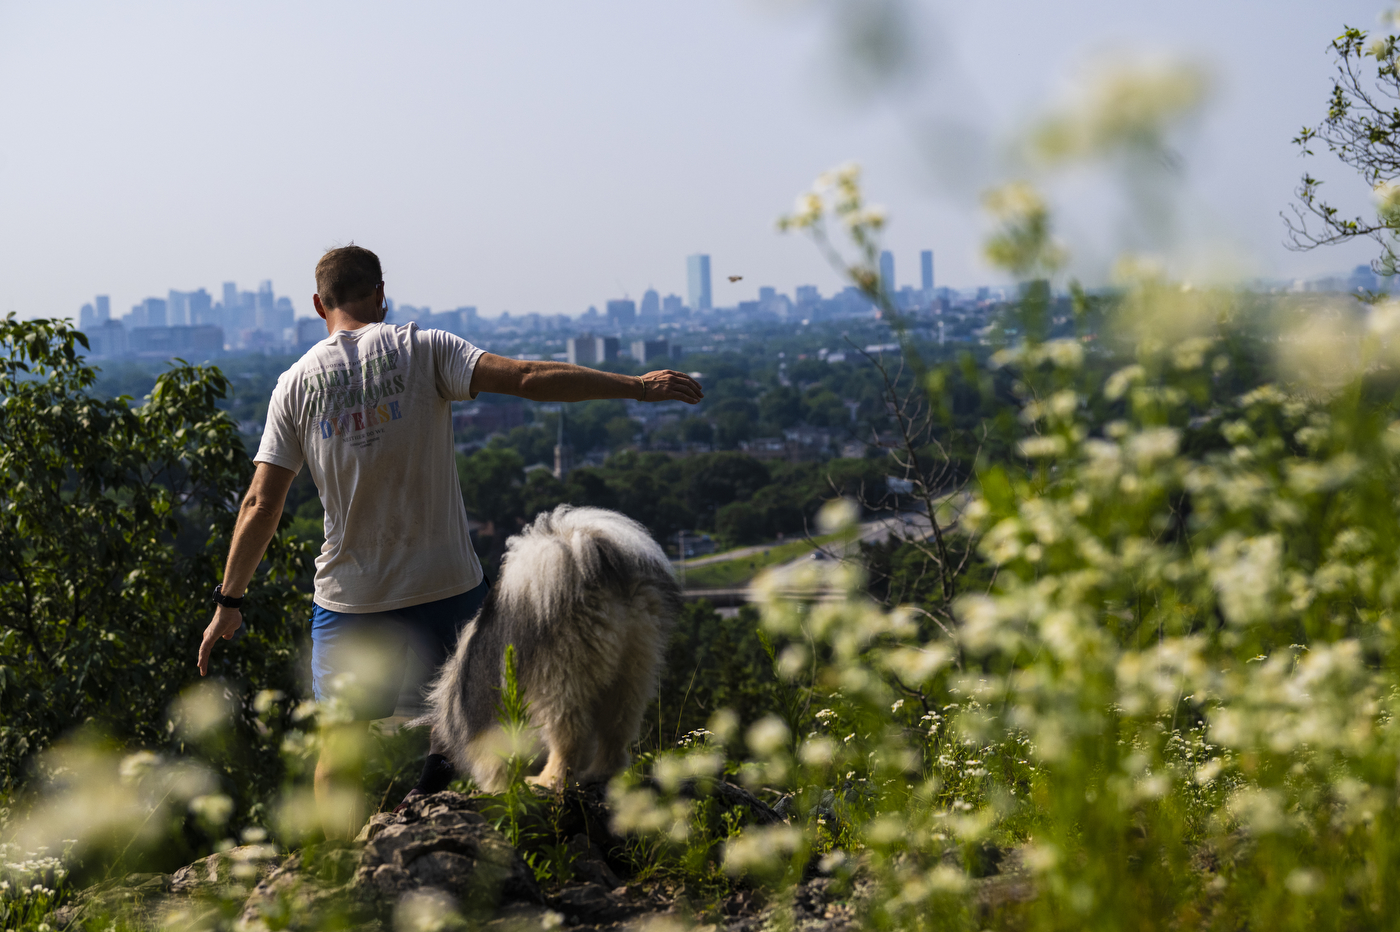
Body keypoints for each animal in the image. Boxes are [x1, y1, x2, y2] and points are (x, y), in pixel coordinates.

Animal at [431, 503, 683, 789]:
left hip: (557, 679)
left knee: (568, 737)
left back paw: (547, 779)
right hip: (631, 670)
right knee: (616, 731)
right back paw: (598, 773)